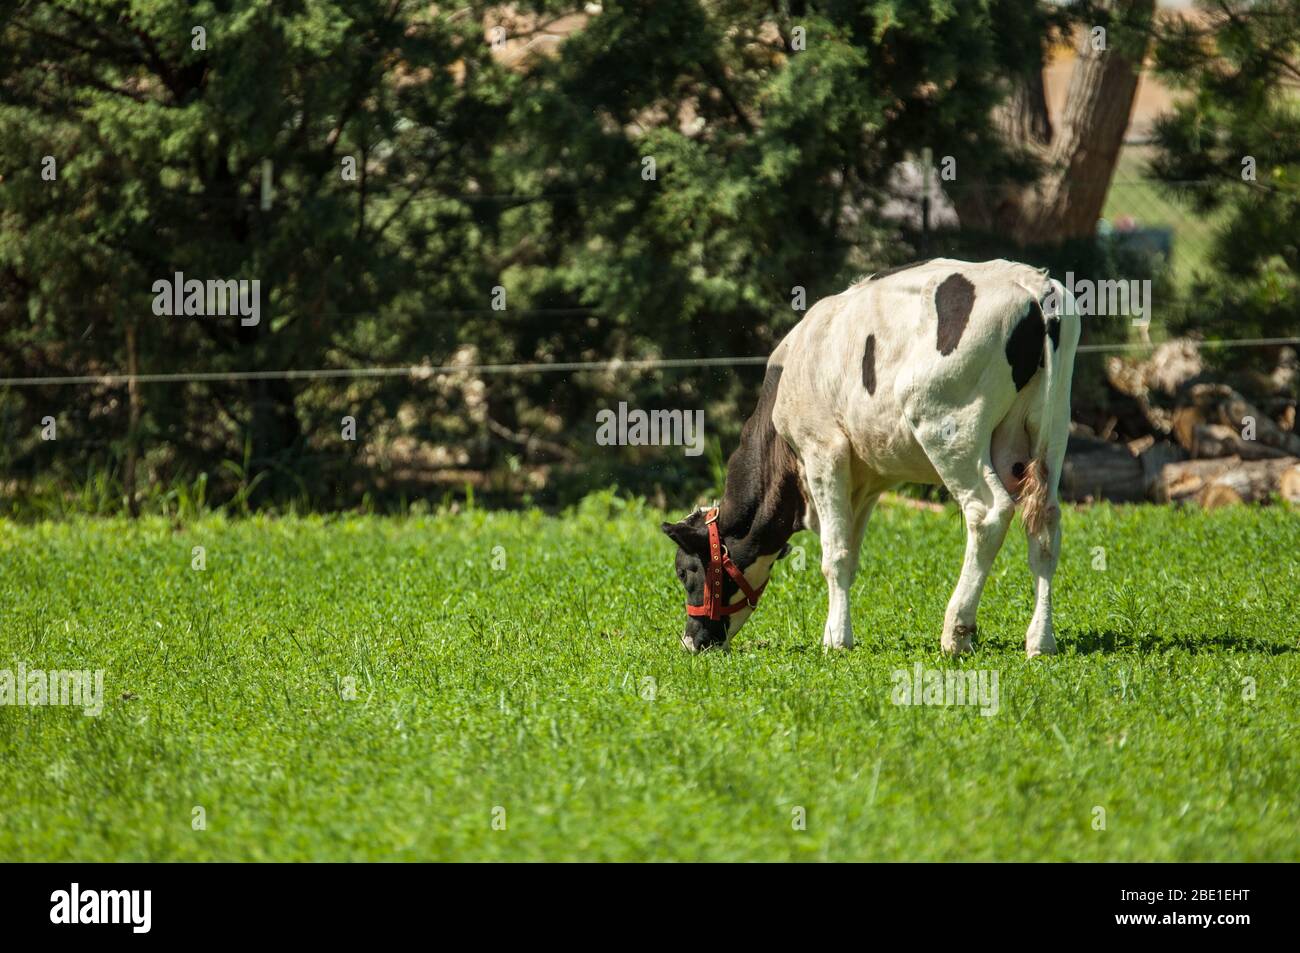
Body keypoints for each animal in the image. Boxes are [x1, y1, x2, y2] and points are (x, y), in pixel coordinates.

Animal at [665, 256, 1081, 657]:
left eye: (685, 572)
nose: (691, 642)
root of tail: (1032, 284)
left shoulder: (823, 451)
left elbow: (834, 554)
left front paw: (836, 640)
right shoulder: (865, 478)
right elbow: (850, 553)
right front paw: (836, 630)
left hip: (949, 429)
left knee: (988, 513)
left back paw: (956, 633)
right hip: (1051, 432)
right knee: (1045, 527)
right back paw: (1040, 641)